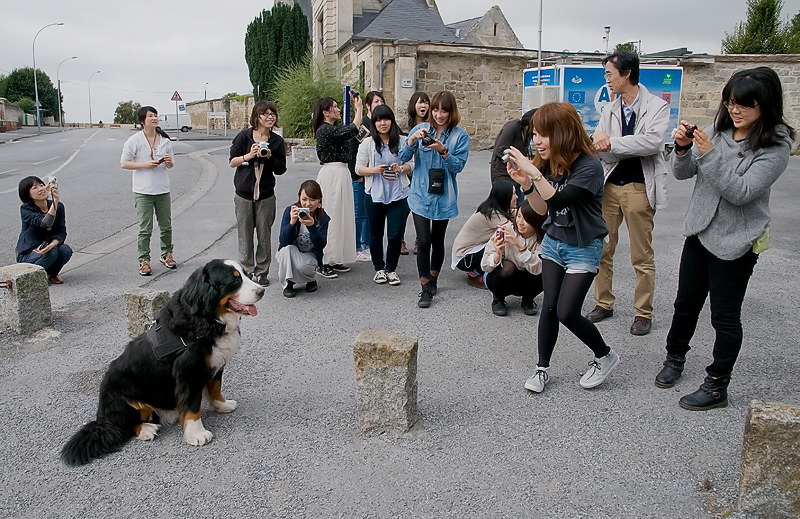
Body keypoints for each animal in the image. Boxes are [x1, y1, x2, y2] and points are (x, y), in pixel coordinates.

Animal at [61, 260, 266, 468]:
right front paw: (196, 434)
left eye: (247, 274)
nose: (261, 291)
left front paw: (221, 405)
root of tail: (102, 416)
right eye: (235, 280)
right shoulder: (188, 373)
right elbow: (193, 406)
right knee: (124, 425)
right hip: (124, 397)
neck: (207, 320)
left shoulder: (215, 364)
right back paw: (146, 429)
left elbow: (215, 388)